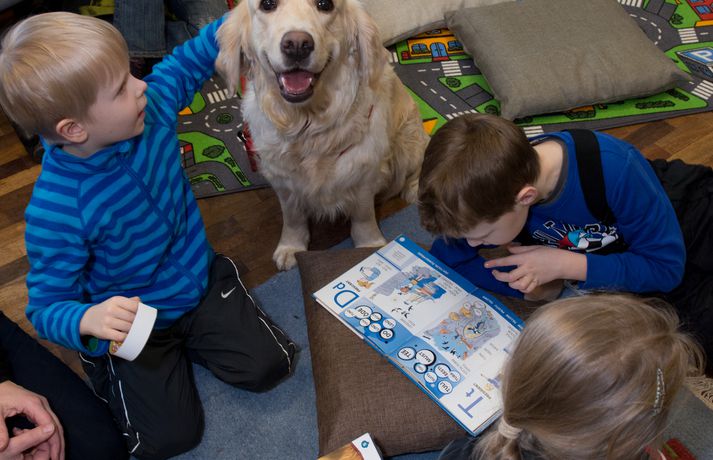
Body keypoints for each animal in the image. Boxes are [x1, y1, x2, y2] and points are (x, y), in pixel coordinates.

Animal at [216, 0, 428, 270]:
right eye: (267, 4)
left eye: (325, 5)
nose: (297, 44)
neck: (308, 123)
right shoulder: (283, 180)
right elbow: (292, 218)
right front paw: (291, 246)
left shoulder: (363, 172)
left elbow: (363, 216)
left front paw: (369, 245)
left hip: (407, 142)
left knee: (418, 165)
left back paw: (414, 189)